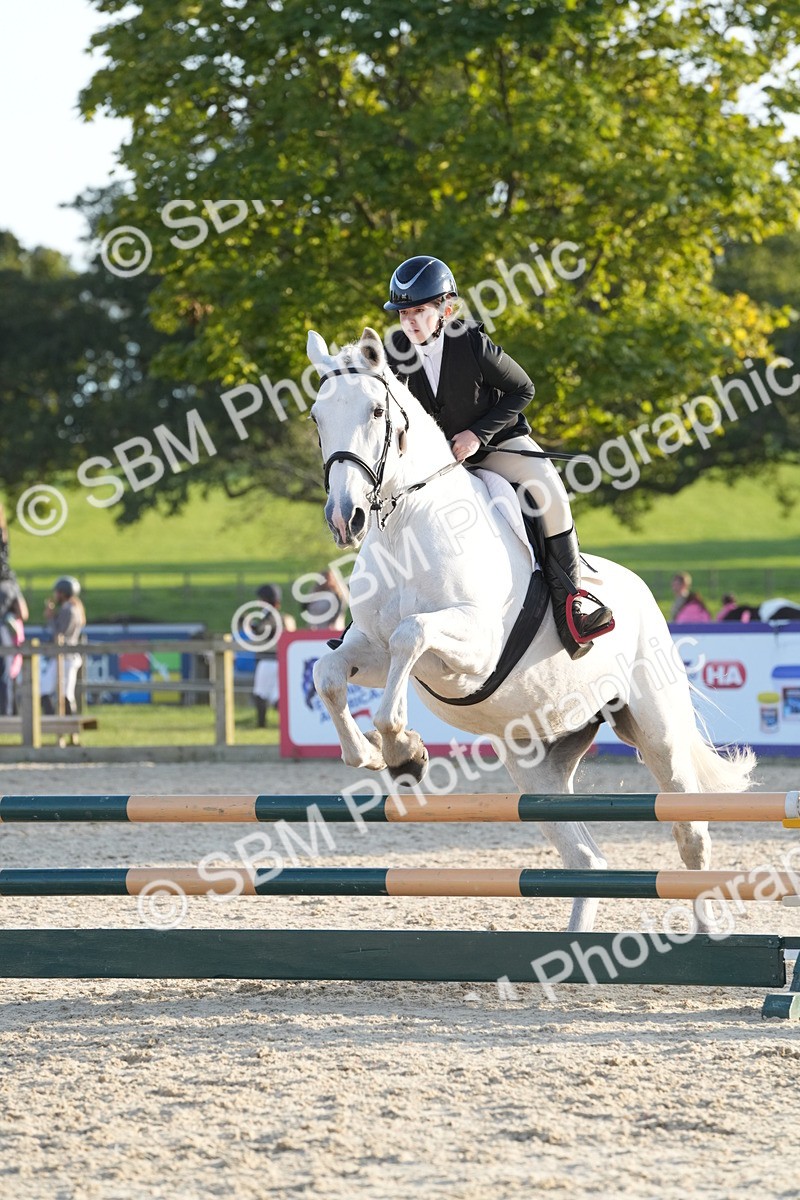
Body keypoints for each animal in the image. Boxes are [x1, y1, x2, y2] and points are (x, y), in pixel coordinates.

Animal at [307, 327, 755, 932]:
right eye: (316, 417)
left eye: (377, 411)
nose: (344, 518)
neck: (407, 528)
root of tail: (643, 593)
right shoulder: (369, 650)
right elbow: (330, 671)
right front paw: (381, 754)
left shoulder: (473, 648)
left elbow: (412, 636)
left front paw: (401, 746)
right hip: (537, 759)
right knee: (586, 858)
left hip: (656, 730)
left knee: (691, 833)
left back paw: (708, 932)